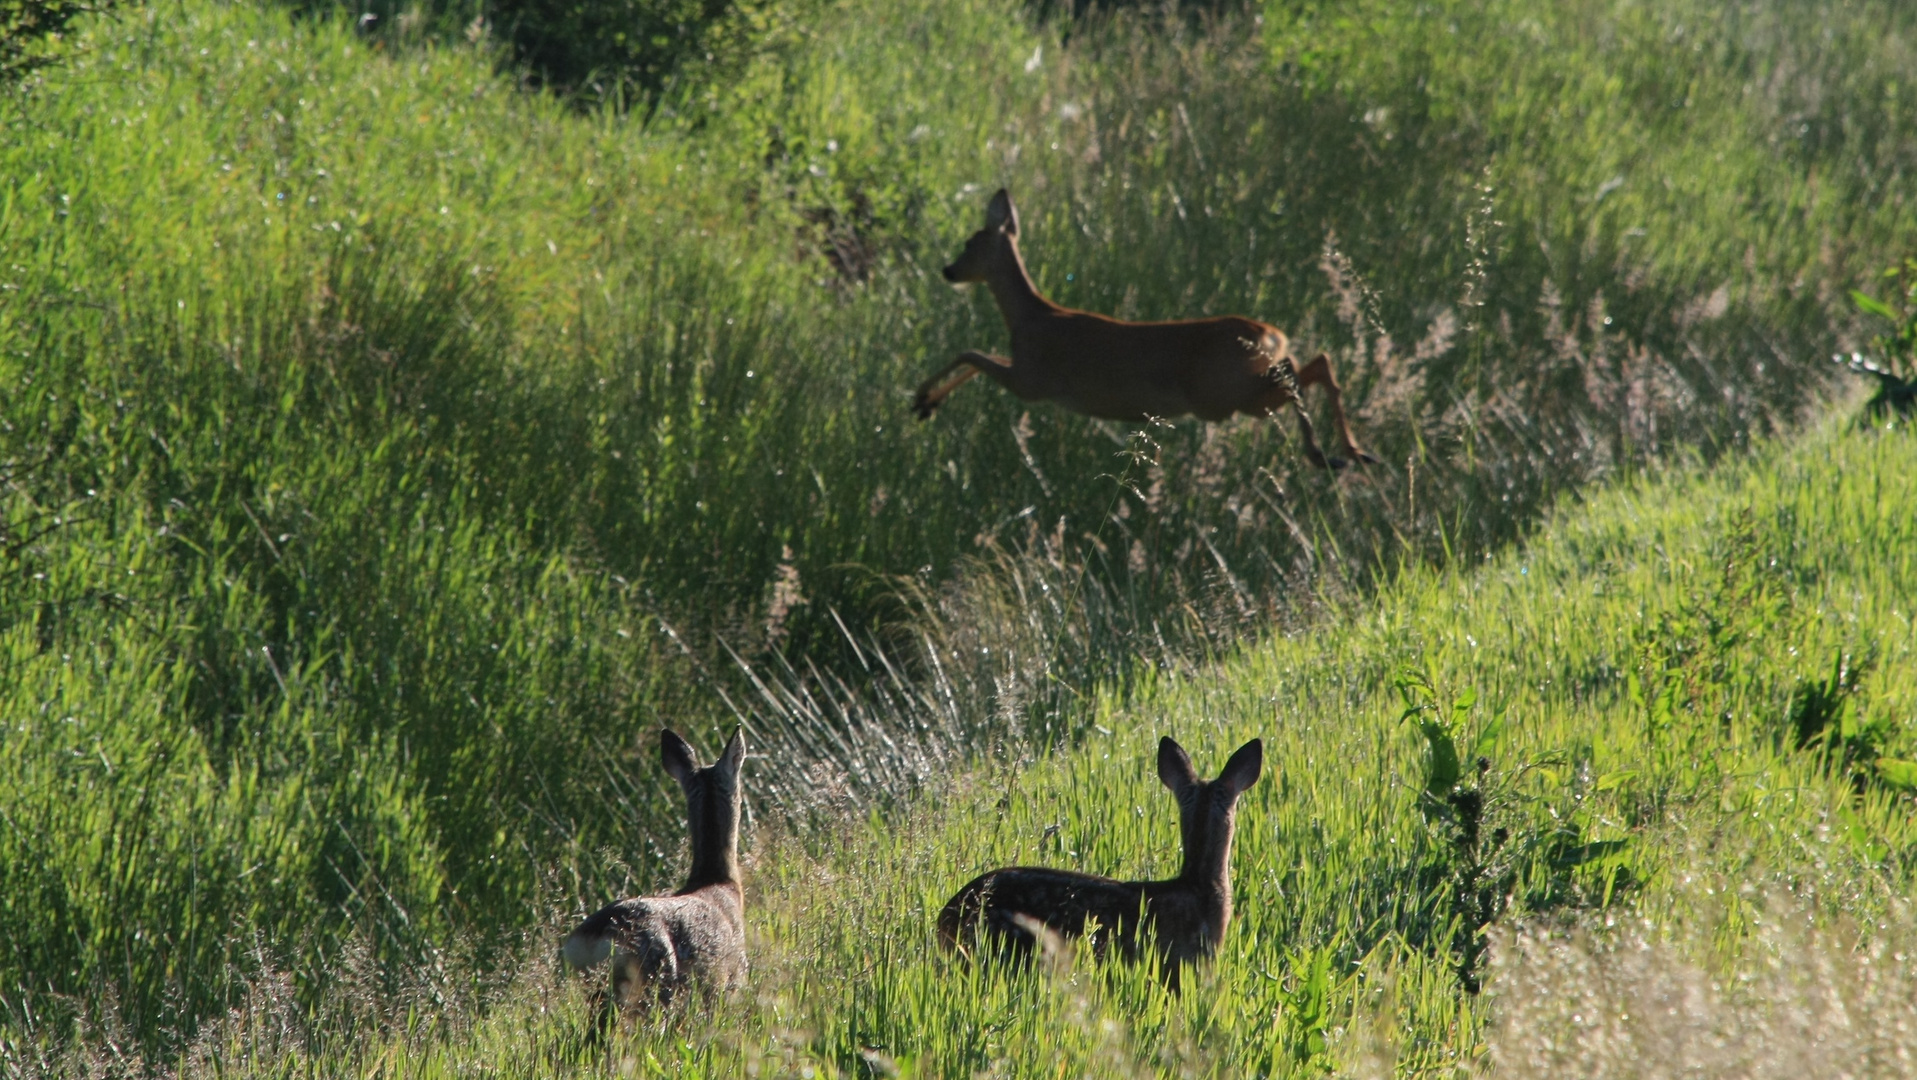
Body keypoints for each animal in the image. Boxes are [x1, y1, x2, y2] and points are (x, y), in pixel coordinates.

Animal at [916, 186, 1380, 469]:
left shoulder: (1030, 380)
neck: (1029, 316)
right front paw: (928, 403)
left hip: (1224, 395)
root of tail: (1270, 333)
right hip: (1238, 389)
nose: (947, 270)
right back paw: (1352, 454)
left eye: (969, 243)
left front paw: (921, 398)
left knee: (1299, 375)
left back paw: (1326, 454)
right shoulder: (1024, 373)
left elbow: (972, 354)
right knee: (1314, 364)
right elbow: (976, 358)